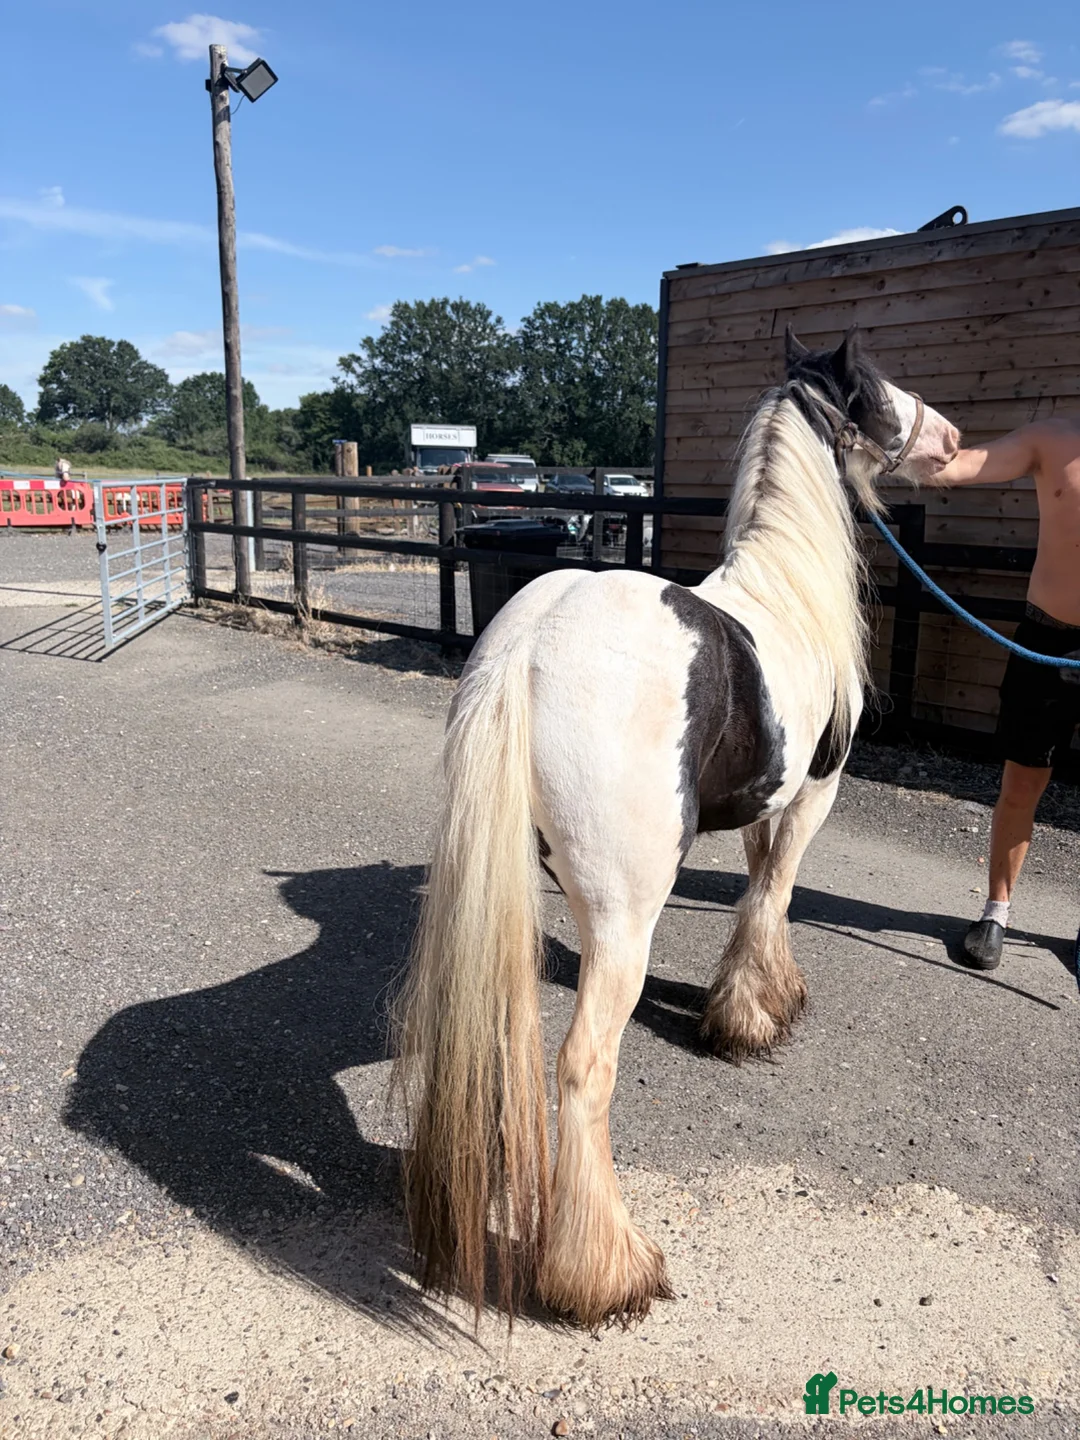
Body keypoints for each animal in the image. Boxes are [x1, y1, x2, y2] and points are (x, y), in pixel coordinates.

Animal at [393, 328, 959, 1331]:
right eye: (880, 388)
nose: (954, 437)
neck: (782, 595)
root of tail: (529, 644)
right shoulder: (811, 795)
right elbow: (773, 893)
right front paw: (753, 1017)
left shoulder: (762, 801)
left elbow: (755, 885)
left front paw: (753, 998)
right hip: (624, 918)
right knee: (583, 1069)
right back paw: (605, 1272)